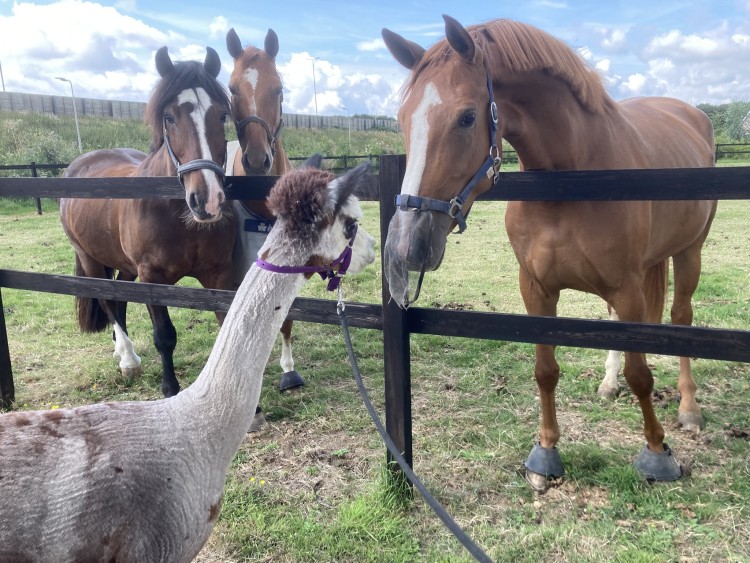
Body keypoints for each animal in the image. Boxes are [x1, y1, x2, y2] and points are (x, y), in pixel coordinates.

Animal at [59, 46, 236, 399]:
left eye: (222, 115)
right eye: (169, 117)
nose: (207, 200)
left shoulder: (218, 273)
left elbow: (225, 322)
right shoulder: (152, 278)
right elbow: (164, 336)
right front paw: (170, 388)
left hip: (125, 266)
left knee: (121, 299)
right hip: (90, 260)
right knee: (108, 300)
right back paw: (127, 359)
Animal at [381, 15, 717, 490]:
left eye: (467, 117)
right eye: (403, 119)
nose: (409, 244)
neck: (574, 175)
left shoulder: (628, 287)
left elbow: (641, 374)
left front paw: (656, 453)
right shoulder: (537, 288)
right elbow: (545, 370)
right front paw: (545, 454)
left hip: (690, 251)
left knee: (681, 317)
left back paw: (689, 409)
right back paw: (608, 384)